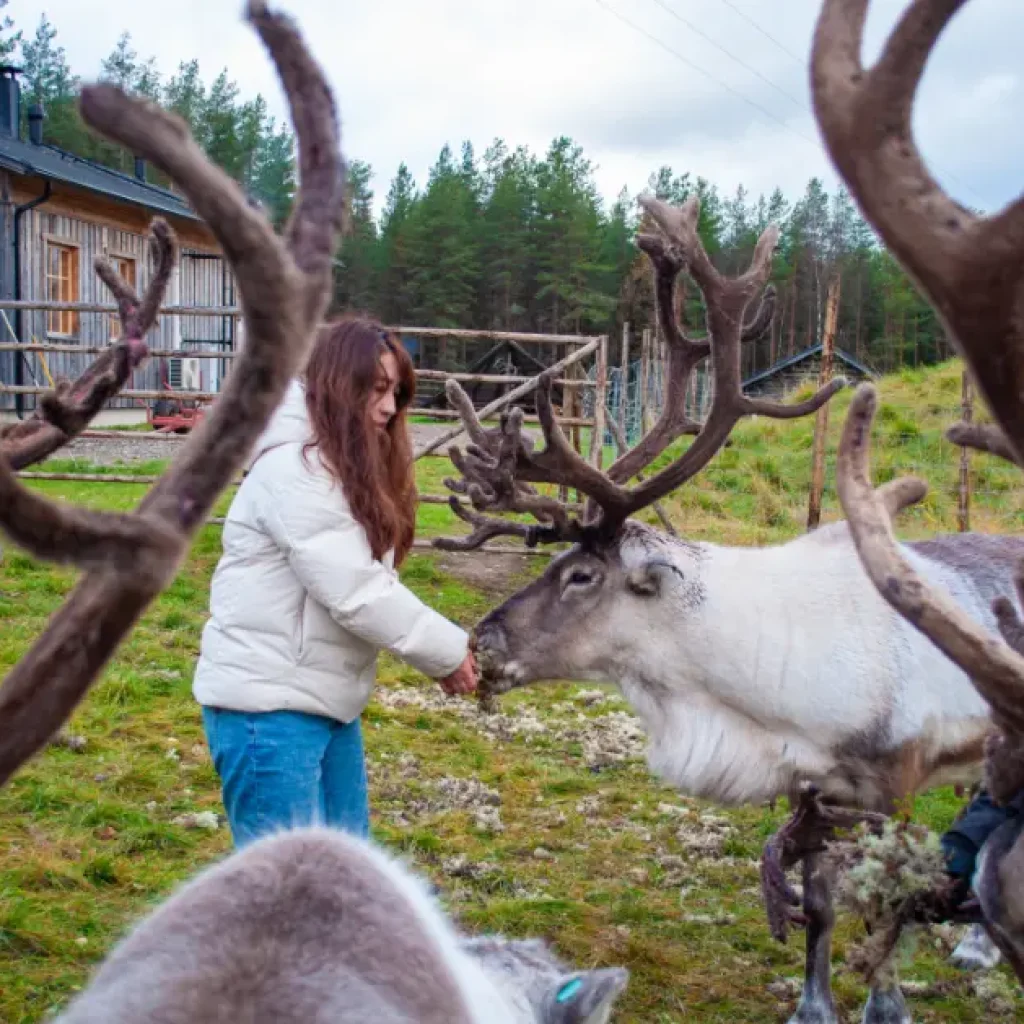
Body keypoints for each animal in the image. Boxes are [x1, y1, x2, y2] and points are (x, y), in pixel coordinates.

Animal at [430, 2, 1023, 1019]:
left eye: (580, 574)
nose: (482, 642)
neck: (742, 687)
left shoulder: (892, 779)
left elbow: (884, 909)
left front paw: (881, 1001)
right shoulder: (809, 787)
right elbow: (820, 901)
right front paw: (813, 999)